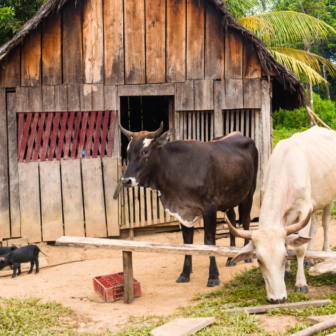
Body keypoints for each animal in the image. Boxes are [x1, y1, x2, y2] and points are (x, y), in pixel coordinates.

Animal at [119, 122, 258, 288]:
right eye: (127, 152)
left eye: (144, 151)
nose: (126, 180)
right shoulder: (183, 211)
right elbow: (187, 242)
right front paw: (185, 273)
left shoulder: (209, 207)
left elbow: (209, 241)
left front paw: (213, 276)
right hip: (230, 196)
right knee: (232, 219)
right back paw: (230, 258)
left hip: (249, 192)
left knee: (246, 220)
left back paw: (247, 255)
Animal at [226, 126, 336, 304]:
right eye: (259, 260)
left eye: (283, 257)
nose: (277, 299)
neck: (286, 170)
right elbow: (290, 241)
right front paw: (287, 271)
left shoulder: (304, 208)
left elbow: (299, 249)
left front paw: (301, 283)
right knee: (313, 226)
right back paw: (310, 260)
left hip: (329, 198)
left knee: (325, 222)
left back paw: (325, 251)